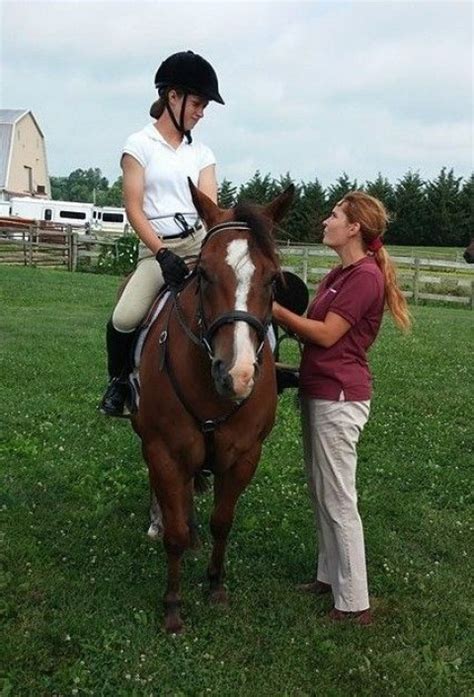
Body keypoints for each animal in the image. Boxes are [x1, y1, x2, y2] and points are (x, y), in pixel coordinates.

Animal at [131, 179, 294, 632]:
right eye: (202, 274)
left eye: (273, 280)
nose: (236, 374)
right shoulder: (164, 451)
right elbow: (174, 533)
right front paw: (172, 605)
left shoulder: (244, 455)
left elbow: (223, 522)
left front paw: (216, 586)